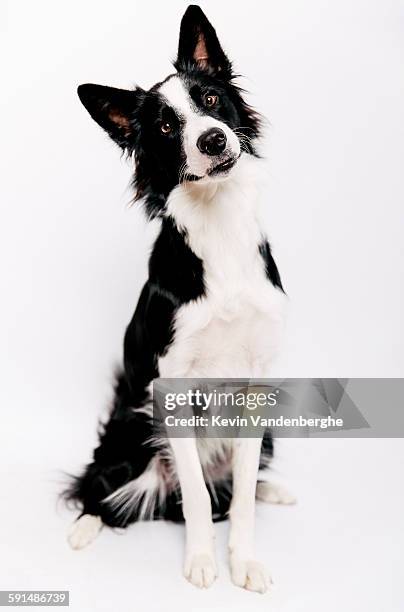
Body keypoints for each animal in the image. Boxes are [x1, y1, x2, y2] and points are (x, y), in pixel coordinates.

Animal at [66, 5, 294, 592]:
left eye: (211, 100)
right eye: (168, 127)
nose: (212, 140)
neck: (219, 229)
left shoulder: (256, 384)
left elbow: (238, 500)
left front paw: (243, 560)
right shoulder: (172, 387)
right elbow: (193, 495)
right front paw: (202, 560)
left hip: (269, 433)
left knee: (237, 485)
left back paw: (272, 489)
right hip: (130, 426)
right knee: (96, 485)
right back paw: (83, 525)